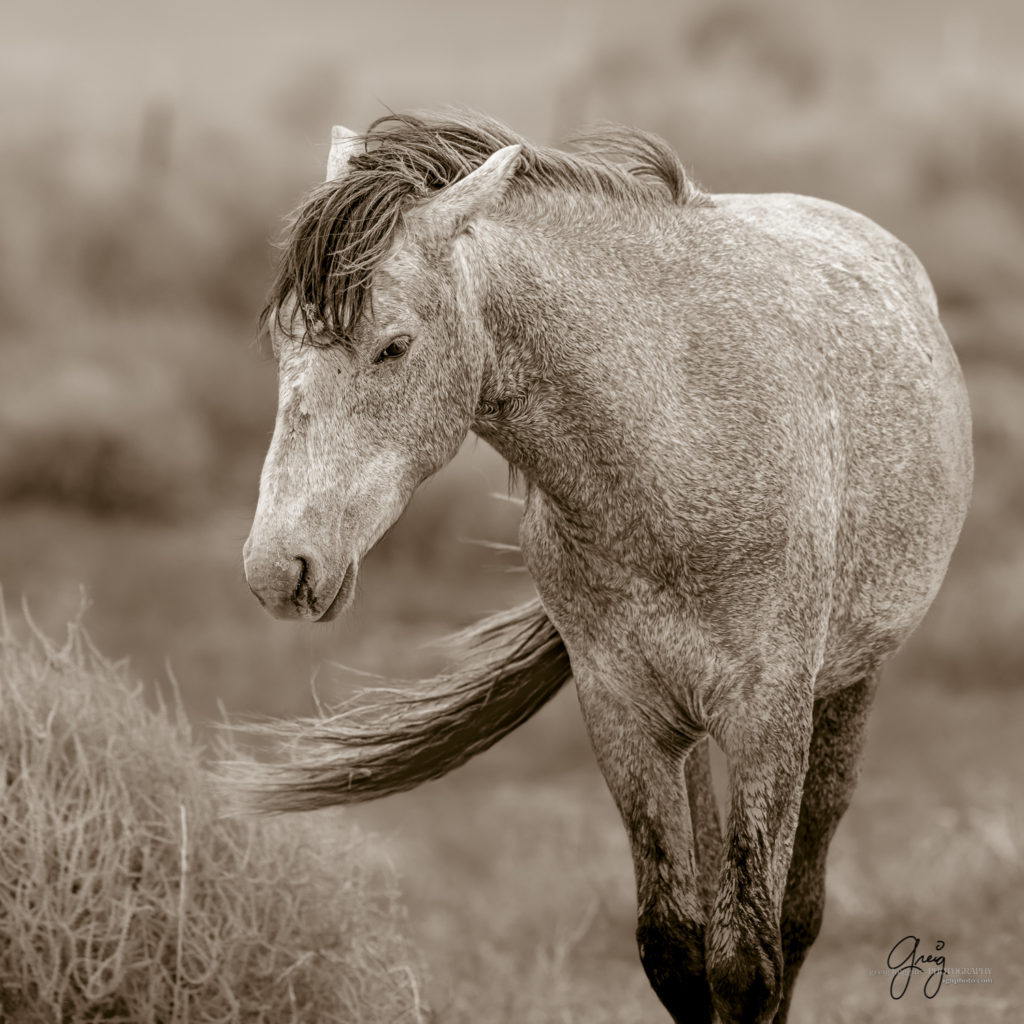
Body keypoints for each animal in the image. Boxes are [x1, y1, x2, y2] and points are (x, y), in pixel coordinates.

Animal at [237, 112, 966, 1024]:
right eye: (282, 341)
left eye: (393, 347)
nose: (279, 567)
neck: (675, 444)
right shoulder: (625, 716)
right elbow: (677, 952)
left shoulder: (768, 712)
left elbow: (750, 962)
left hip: (847, 689)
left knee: (798, 914)